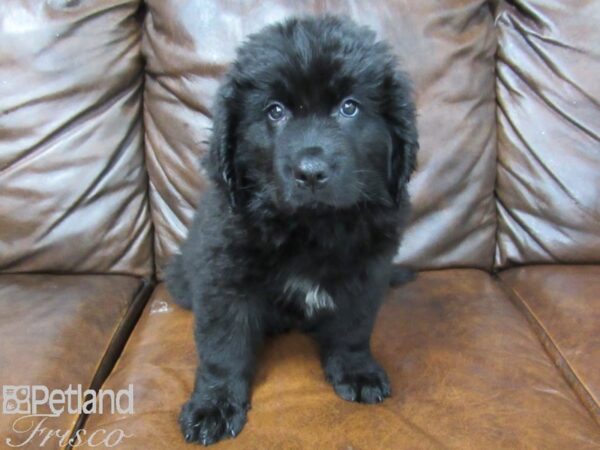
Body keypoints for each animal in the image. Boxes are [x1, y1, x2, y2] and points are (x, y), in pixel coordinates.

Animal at [165, 14, 418, 446]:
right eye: (275, 111)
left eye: (349, 108)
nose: (311, 172)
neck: (309, 227)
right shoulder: (223, 277)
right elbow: (222, 345)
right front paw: (214, 405)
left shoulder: (368, 272)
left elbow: (353, 328)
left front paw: (357, 372)